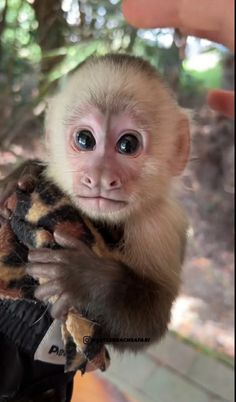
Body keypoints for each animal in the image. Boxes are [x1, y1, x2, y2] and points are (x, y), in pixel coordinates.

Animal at [0, 54, 190, 362]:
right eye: (85, 139)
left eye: (128, 144)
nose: (100, 176)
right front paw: (20, 175)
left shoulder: (161, 225)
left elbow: (151, 323)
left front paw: (84, 280)